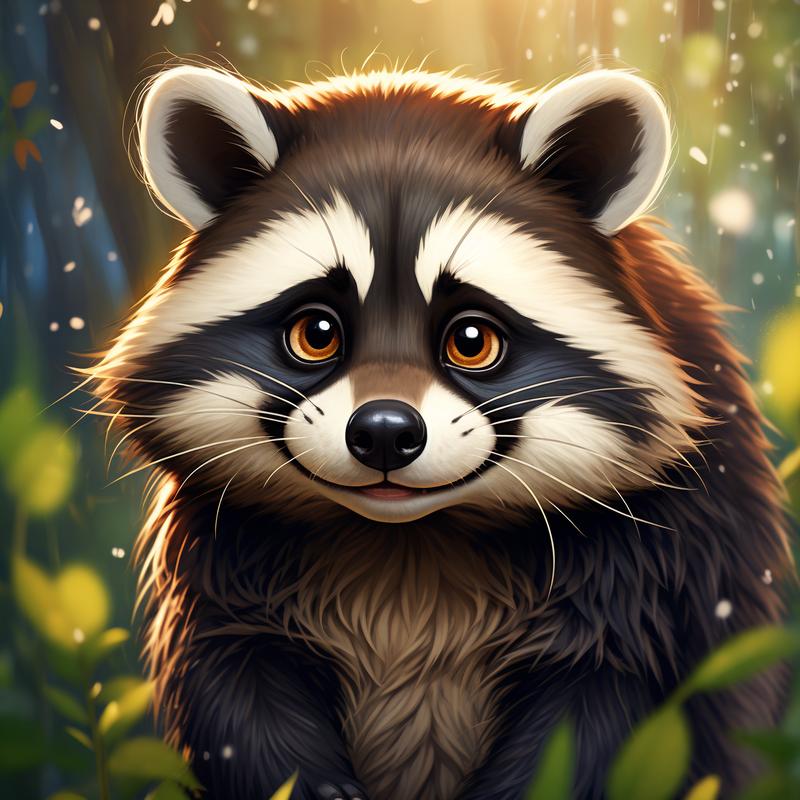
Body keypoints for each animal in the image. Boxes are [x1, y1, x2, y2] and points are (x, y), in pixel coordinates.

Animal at [88, 66, 791, 799]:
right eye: (316, 333)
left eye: (472, 340)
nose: (384, 433)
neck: (411, 538)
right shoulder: (222, 548)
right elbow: (238, 687)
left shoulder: (656, 553)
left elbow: (602, 707)